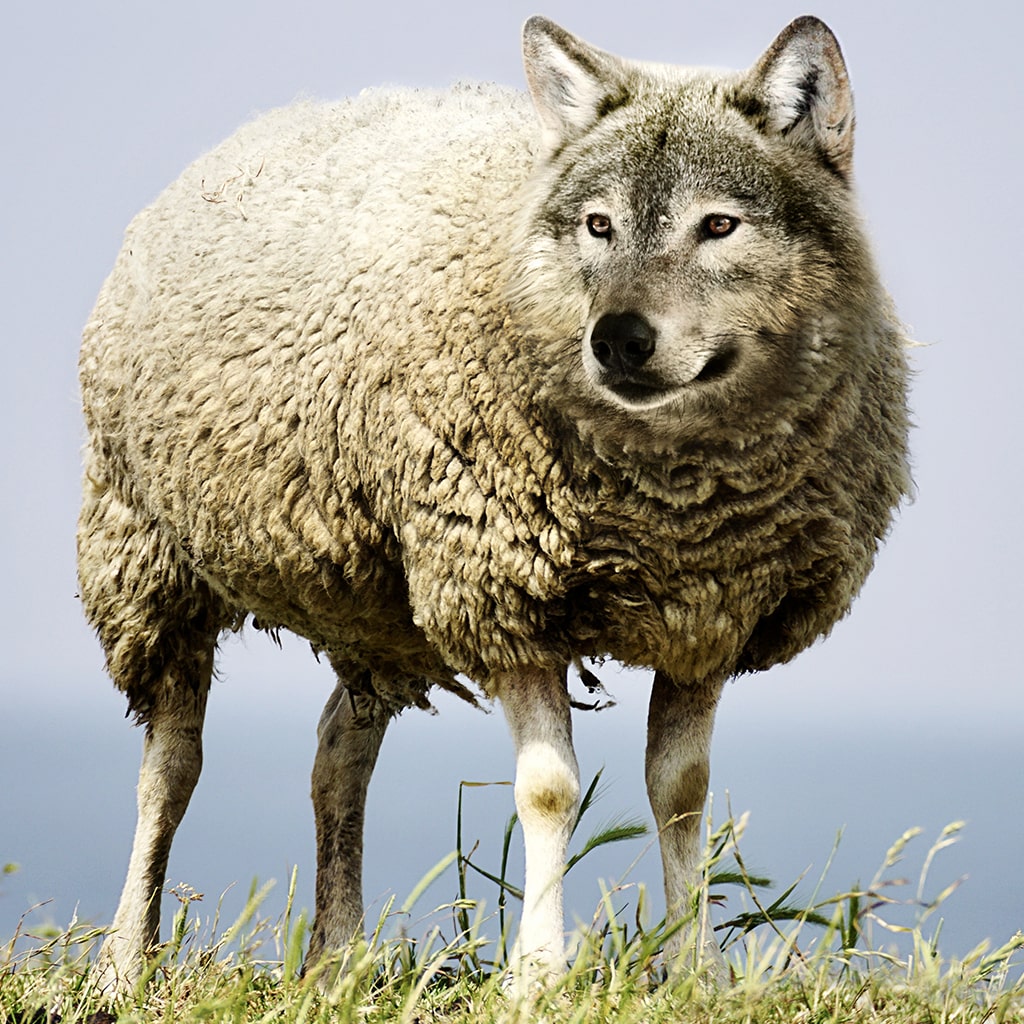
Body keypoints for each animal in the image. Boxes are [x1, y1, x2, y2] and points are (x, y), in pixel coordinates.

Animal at [78, 15, 911, 990]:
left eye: (720, 225)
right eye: (598, 224)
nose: (618, 340)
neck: (669, 502)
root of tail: (269, 122)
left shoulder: (709, 612)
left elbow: (681, 792)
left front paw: (694, 970)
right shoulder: (502, 592)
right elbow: (549, 791)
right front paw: (541, 974)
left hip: (376, 606)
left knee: (338, 755)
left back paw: (337, 958)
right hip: (144, 551)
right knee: (170, 766)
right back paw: (125, 960)